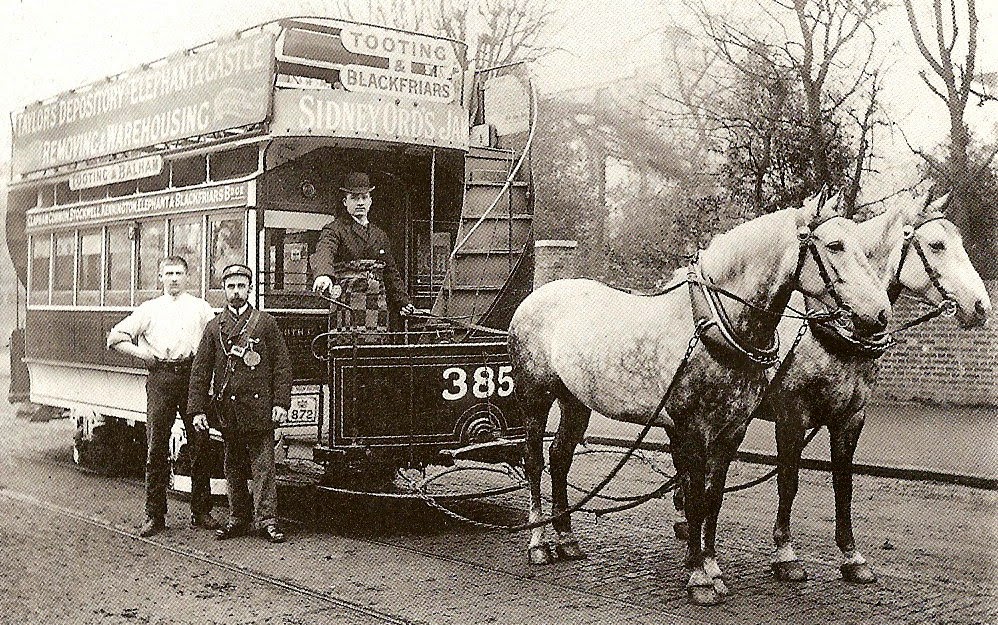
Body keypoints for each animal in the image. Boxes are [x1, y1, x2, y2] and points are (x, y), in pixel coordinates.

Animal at [508, 191, 892, 604]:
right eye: (835, 245)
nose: (880, 315)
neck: (714, 325)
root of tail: (536, 297)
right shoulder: (696, 428)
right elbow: (694, 497)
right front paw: (697, 576)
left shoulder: (732, 430)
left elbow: (713, 497)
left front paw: (712, 567)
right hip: (534, 398)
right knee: (534, 462)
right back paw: (538, 542)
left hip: (575, 401)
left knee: (559, 457)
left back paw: (566, 537)